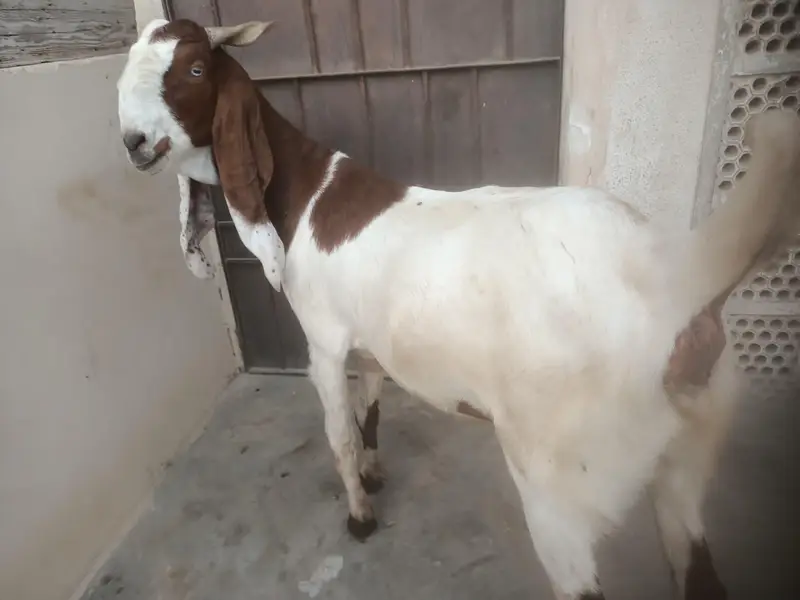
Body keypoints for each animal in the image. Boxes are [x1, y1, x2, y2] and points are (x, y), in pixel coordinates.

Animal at [117, 18, 800, 600]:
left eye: (196, 69)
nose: (134, 143)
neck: (307, 193)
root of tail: (673, 273)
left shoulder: (325, 343)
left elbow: (339, 435)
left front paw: (360, 516)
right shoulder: (372, 343)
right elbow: (370, 410)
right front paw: (376, 476)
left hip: (562, 483)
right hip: (686, 458)